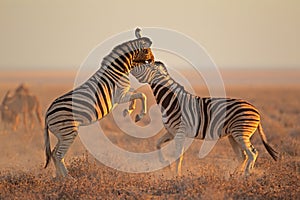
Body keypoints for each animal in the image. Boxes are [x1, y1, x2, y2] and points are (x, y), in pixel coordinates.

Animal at [44, 28, 155, 177]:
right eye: (147, 51)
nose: (154, 61)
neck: (118, 70)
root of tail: (47, 114)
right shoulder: (120, 95)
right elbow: (141, 95)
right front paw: (139, 115)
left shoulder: (124, 92)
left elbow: (135, 93)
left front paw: (130, 109)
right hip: (68, 132)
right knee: (58, 155)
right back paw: (68, 179)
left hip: (61, 135)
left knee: (54, 153)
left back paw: (58, 178)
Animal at [129, 61, 278, 176]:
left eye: (143, 66)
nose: (130, 67)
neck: (172, 101)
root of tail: (256, 111)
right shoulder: (171, 132)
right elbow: (158, 144)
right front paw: (166, 165)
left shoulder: (180, 132)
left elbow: (178, 155)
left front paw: (176, 176)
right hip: (233, 136)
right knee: (243, 156)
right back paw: (234, 176)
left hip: (241, 133)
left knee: (252, 153)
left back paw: (246, 176)